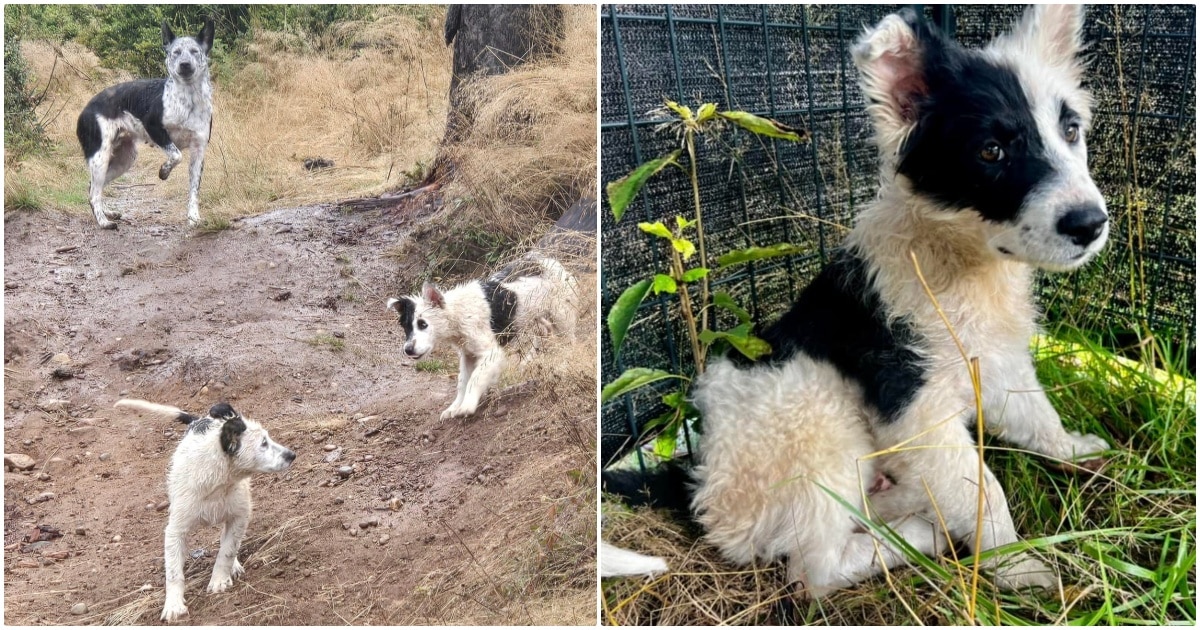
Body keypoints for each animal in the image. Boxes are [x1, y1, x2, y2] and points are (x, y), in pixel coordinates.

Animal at [76, 17, 216, 230]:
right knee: (94, 194)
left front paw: (193, 218)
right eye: (175, 52)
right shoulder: (154, 128)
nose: (184, 65)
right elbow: (176, 155)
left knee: (93, 188)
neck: (188, 100)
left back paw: (108, 212)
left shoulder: (199, 151)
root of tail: (85, 110)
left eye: (194, 51)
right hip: (100, 157)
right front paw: (164, 172)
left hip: (124, 159)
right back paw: (103, 222)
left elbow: (193, 191)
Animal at [113, 398, 296, 619]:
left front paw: (219, 580)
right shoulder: (175, 530)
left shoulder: (240, 515)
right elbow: (173, 572)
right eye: (263, 443)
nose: (292, 455)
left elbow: (227, 550)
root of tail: (202, 418)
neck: (218, 481)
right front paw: (173, 605)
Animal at [386, 253, 578, 420]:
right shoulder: (467, 354)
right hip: (532, 316)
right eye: (406, 327)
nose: (408, 350)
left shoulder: (491, 353)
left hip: (562, 316)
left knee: (570, 341)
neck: (457, 313)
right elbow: (463, 381)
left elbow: (476, 377)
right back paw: (528, 361)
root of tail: (549, 262)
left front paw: (467, 406)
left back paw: (564, 363)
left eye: (423, 324)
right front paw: (454, 407)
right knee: (544, 330)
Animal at [609, 6, 1113, 595]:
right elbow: (981, 487)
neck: (962, 260)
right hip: (819, 418)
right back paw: (920, 533)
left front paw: (1073, 450)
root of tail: (697, 486)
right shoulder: (913, 401)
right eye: (992, 151)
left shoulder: (996, 362)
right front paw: (1017, 566)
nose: (1090, 225)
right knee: (815, 568)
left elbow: (1037, 415)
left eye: (1071, 130)